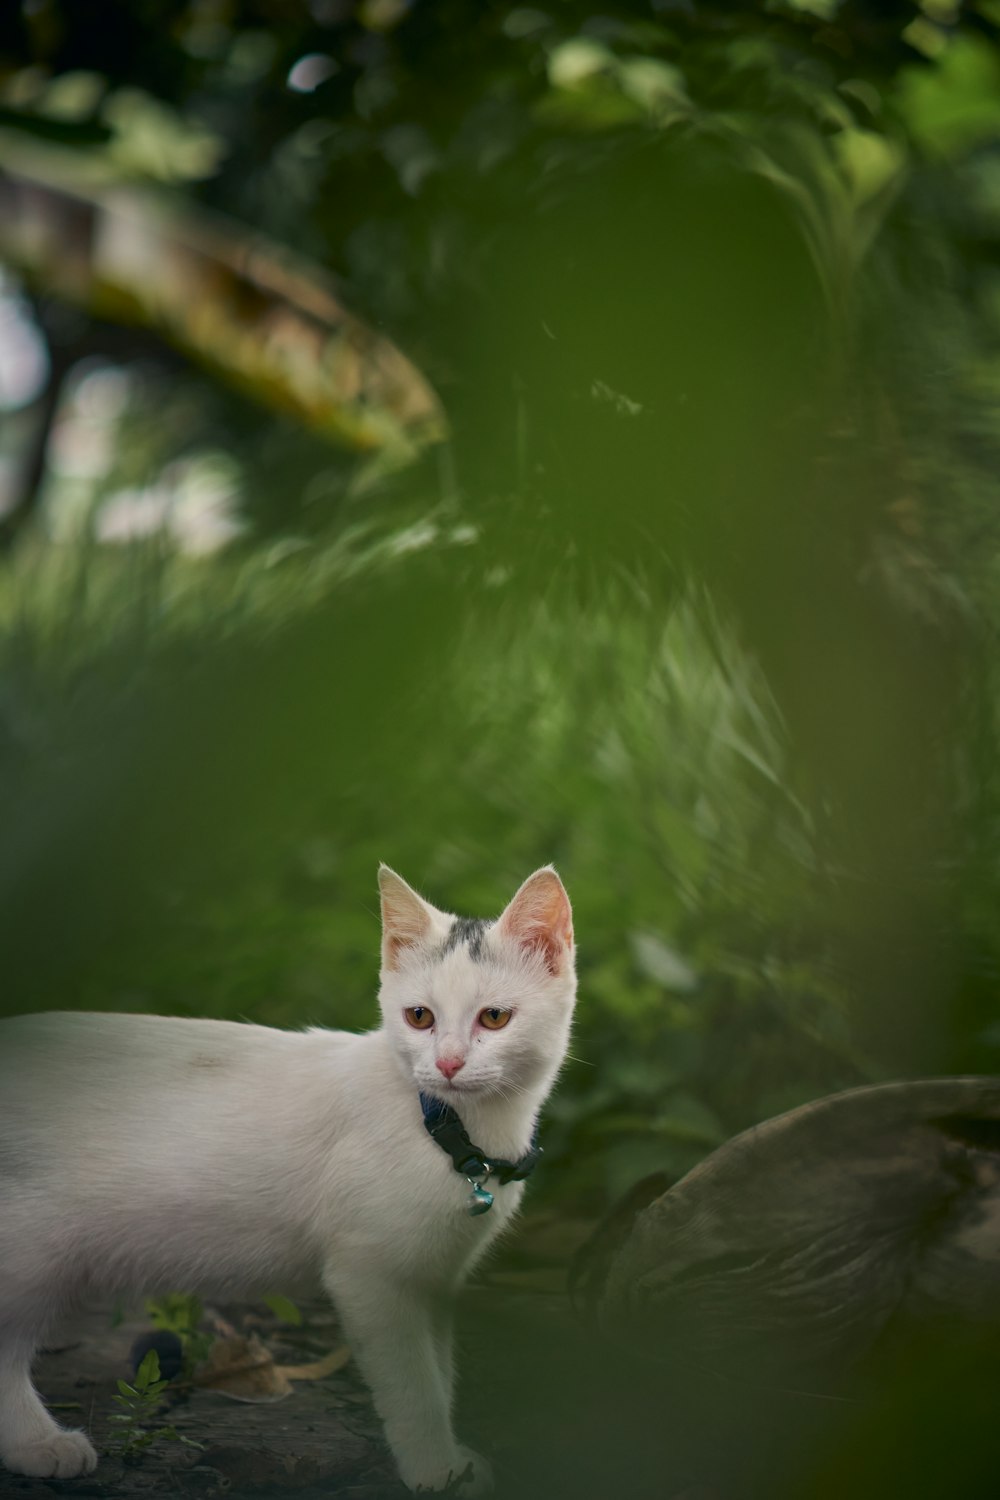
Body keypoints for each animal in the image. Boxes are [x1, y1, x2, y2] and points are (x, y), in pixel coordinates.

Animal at [0, 864, 575, 1494]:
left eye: (494, 1017)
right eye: (419, 1017)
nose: (447, 1063)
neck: (453, 1130)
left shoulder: (435, 1279)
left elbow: (440, 1373)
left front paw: (455, 1464)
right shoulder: (369, 1277)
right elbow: (414, 1387)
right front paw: (433, 1470)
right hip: (29, 1247)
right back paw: (37, 1442)